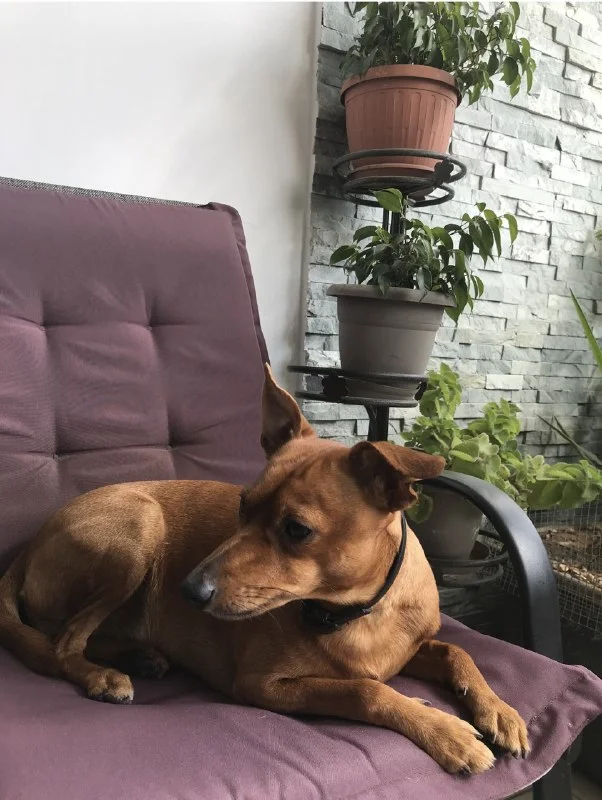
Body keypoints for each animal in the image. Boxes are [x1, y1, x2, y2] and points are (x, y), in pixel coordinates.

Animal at [0, 365, 528, 774]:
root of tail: (29, 546)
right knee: (61, 643)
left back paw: (139, 656)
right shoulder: (262, 685)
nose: (188, 591)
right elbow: (366, 691)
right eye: (242, 505)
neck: (356, 613)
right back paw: (102, 676)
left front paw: (500, 710)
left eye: (296, 530)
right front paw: (446, 732)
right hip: (140, 527)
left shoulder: (411, 647)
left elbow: (456, 651)